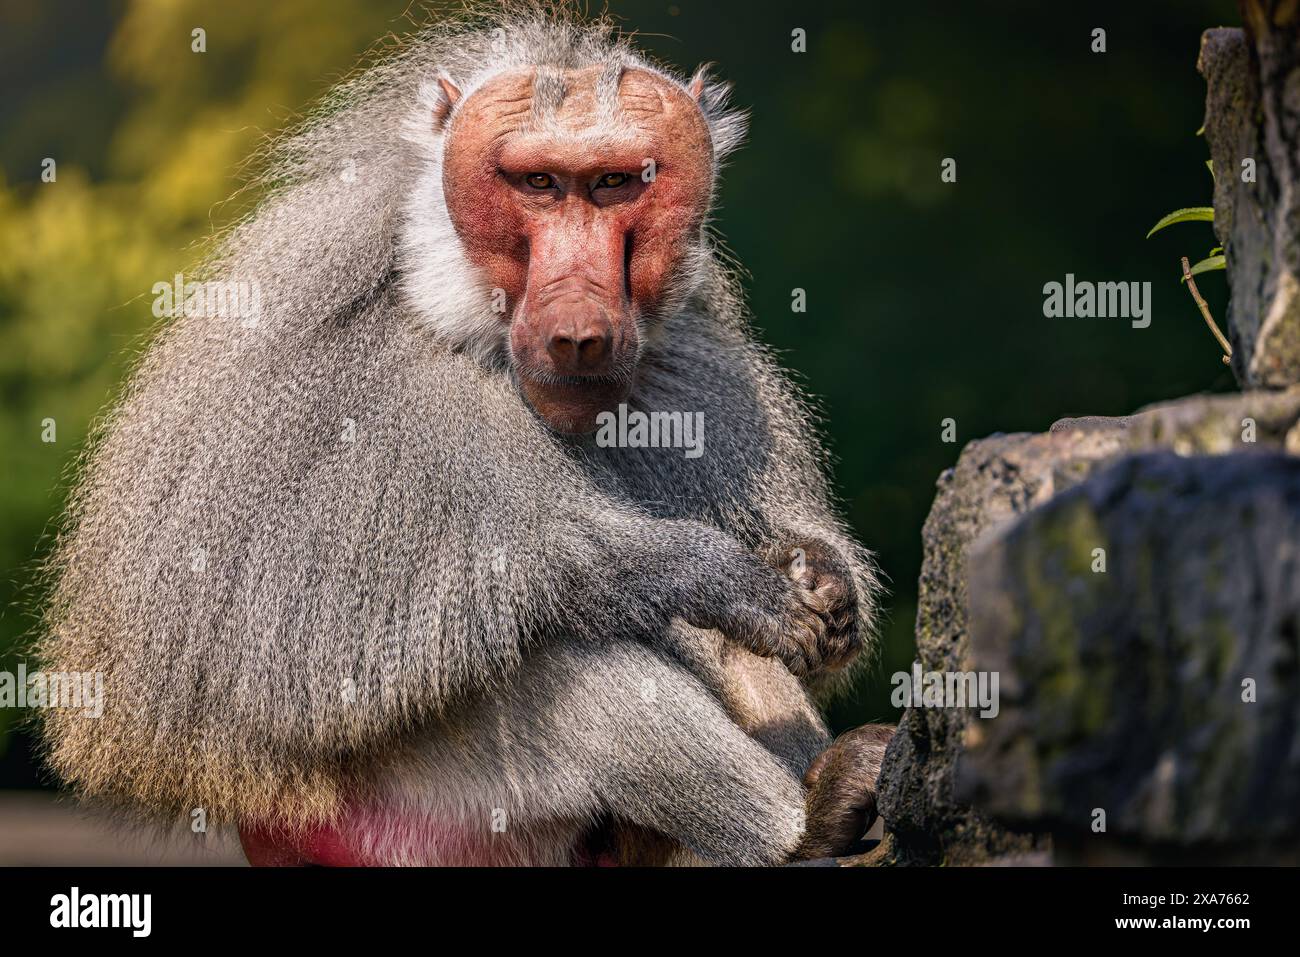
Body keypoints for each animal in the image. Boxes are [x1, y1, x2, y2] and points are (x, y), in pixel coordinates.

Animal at [37, 4, 892, 866]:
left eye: (615, 182)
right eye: (538, 183)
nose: (578, 328)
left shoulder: (698, 369)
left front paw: (822, 577)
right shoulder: (388, 401)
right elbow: (282, 655)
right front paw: (716, 575)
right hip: (416, 819)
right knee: (569, 662)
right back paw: (802, 827)